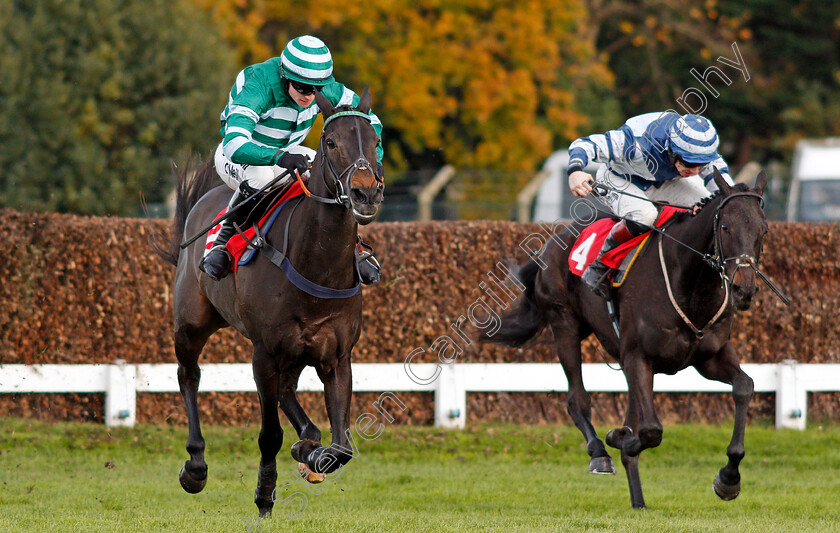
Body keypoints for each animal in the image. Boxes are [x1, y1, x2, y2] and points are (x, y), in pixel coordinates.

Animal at [154, 88, 384, 516]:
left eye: (375, 140)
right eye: (331, 142)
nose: (365, 192)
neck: (317, 267)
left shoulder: (336, 356)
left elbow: (342, 446)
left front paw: (311, 454)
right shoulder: (264, 352)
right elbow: (270, 436)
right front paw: (265, 493)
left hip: (295, 353)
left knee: (288, 392)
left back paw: (308, 441)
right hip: (192, 324)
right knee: (188, 376)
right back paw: (195, 466)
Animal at [486, 169, 768, 508]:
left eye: (763, 230)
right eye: (725, 227)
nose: (743, 289)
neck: (689, 285)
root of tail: (553, 241)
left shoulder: (710, 357)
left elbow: (744, 387)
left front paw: (728, 479)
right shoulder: (637, 357)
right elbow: (651, 430)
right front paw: (618, 438)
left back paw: (638, 501)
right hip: (564, 325)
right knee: (577, 399)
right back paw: (599, 453)